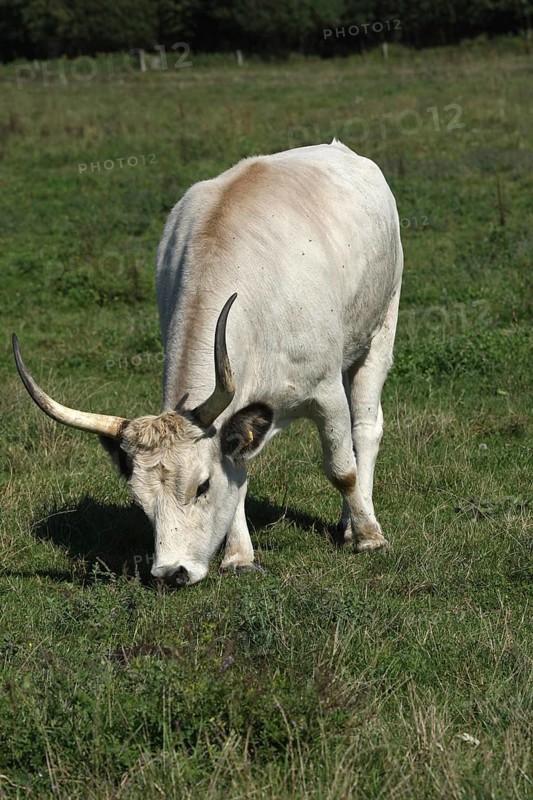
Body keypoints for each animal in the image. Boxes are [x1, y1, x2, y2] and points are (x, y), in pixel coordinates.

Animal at [13, 139, 403, 587]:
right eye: (140, 500)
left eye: (201, 486)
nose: (170, 573)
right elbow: (238, 476)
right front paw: (239, 556)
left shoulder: (324, 392)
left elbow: (342, 467)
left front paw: (369, 537)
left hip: (382, 325)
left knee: (365, 431)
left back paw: (358, 522)